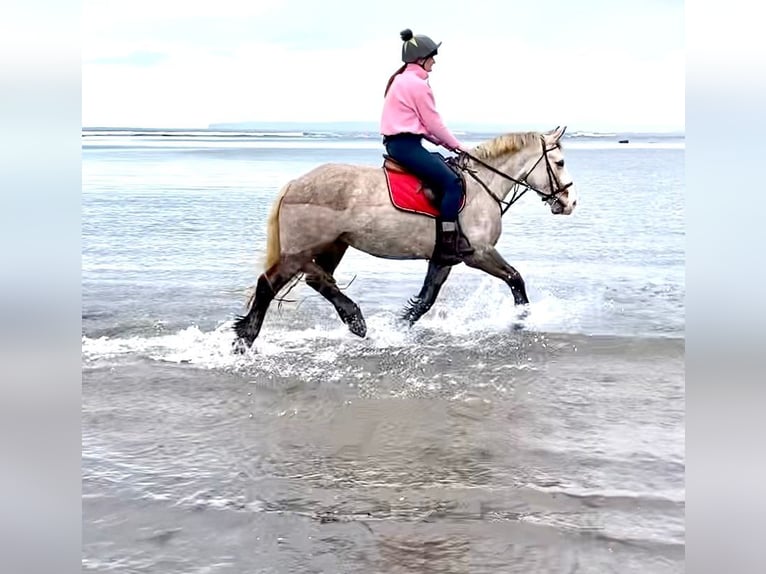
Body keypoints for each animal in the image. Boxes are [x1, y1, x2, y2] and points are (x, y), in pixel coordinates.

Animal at [233, 125, 577, 349]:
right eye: (559, 163)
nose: (570, 202)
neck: (481, 187)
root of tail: (294, 184)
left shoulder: (444, 258)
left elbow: (425, 300)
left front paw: (396, 329)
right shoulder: (479, 253)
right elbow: (516, 279)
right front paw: (520, 319)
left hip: (334, 245)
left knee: (316, 280)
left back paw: (352, 321)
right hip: (301, 251)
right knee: (271, 283)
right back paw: (247, 337)